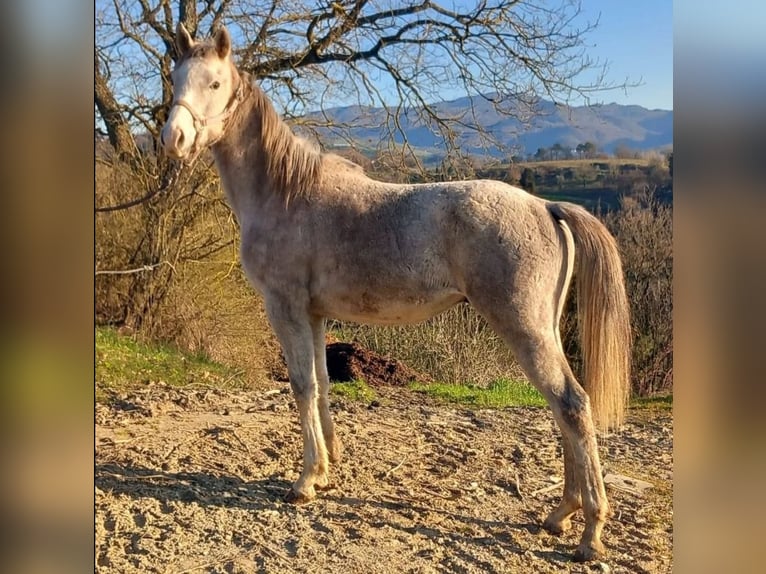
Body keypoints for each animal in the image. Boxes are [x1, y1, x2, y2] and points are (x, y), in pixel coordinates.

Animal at [160, 25, 632, 564]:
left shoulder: (285, 309)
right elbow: (322, 385)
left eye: (215, 83)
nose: (172, 139)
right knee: (562, 410)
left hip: (524, 329)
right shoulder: (315, 316)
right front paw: (326, 471)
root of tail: (547, 207)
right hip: (544, 331)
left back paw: (589, 531)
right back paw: (560, 514)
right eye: (175, 77)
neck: (285, 193)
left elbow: (301, 386)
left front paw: (304, 481)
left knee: (572, 405)